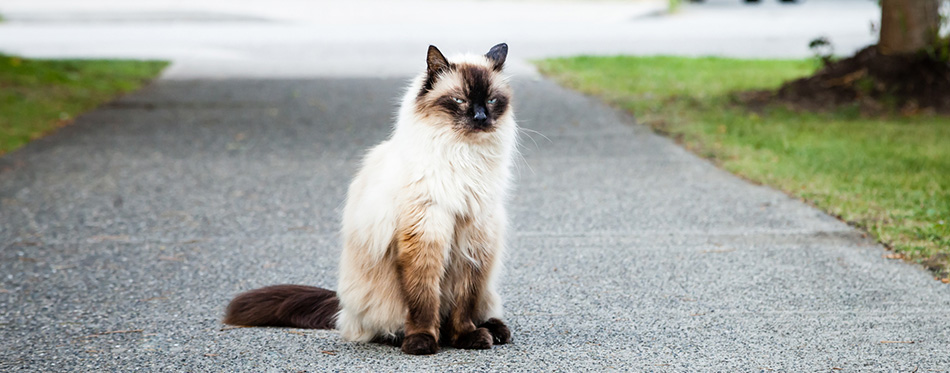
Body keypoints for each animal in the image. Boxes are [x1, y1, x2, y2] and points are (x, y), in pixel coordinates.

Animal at [225, 43, 520, 354]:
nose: (480, 118)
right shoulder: (425, 235)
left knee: (479, 310)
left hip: (487, 286)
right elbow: (423, 300)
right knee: (385, 325)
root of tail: (342, 308)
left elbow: (464, 304)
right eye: (459, 100)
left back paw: (493, 331)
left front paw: (467, 337)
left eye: (491, 100)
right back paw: (409, 337)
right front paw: (422, 342)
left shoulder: (473, 241)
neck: (463, 156)